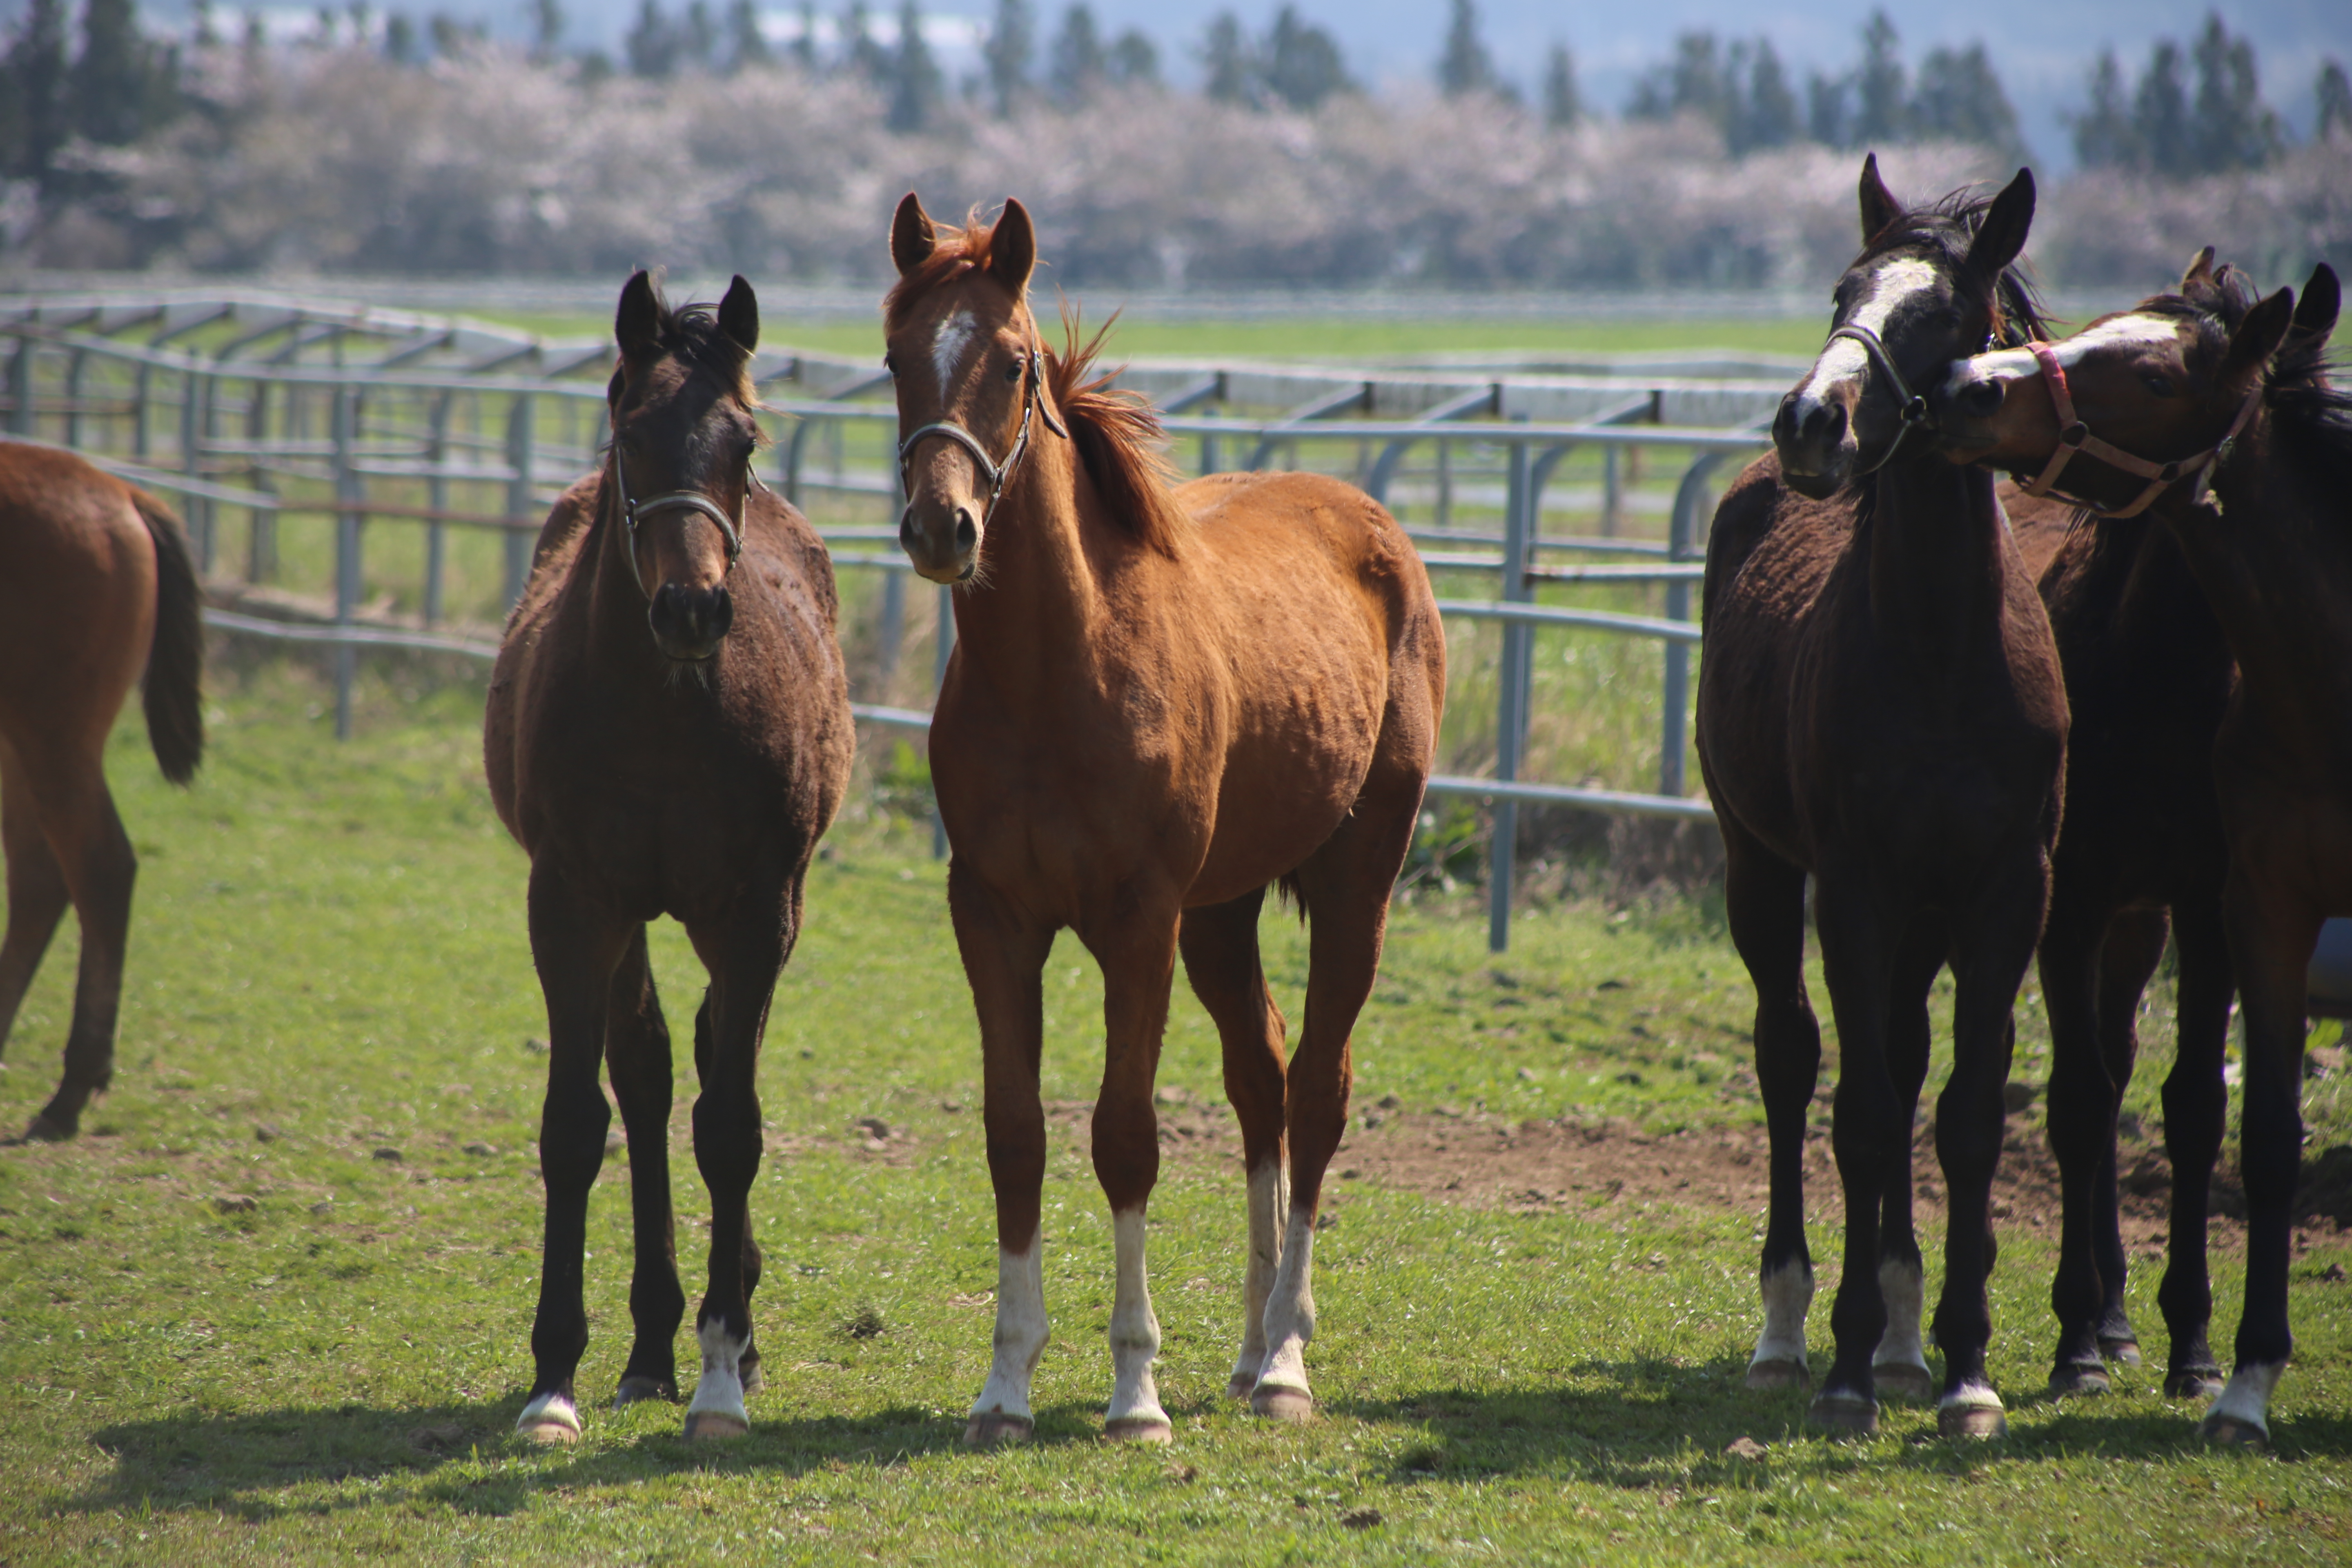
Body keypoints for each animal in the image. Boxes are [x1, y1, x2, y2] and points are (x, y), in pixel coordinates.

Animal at [480, 272, 856, 1448]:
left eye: (744, 439)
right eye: (631, 433)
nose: (692, 608)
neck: (662, 711)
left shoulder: (757, 908)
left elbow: (731, 1126)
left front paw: (725, 1372)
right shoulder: (572, 902)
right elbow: (576, 1122)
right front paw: (553, 1377)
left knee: (706, 1065)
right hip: (632, 916)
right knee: (645, 1074)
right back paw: (648, 1343)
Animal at [880, 196, 1430, 1448]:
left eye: (1014, 362)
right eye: (896, 358)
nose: (942, 528)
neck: (1058, 671)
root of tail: (1372, 526)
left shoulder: (1137, 922)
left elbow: (1125, 1137)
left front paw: (1134, 1390)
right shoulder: (993, 915)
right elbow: (1016, 1134)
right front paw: (1004, 1387)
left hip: (1354, 881)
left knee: (1316, 1089)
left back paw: (1284, 1362)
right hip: (1221, 913)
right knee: (1262, 1078)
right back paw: (1248, 1345)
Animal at [1693, 156, 2060, 1439]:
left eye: (1946, 313)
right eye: (1843, 291)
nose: (1813, 421)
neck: (1941, 650)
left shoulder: (2005, 895)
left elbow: (1961, 1111)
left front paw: (1961, 1368)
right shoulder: (1853, 890)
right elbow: (1852, 1109)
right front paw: (1847, 1366)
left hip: (1925, 914)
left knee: (1902, 1062)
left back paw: (1905, 1336)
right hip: (1760, 871)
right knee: (1792, 1057)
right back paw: (1787, 1331)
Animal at [1929, 255, 2333, 1448]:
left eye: (2154, 375)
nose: (1969, 387)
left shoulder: (2209, 908)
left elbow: (2194, 1108)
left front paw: (2194, 1347)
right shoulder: (2071, 903)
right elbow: (2076, 1101)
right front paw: (2076, 1339)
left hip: (2141, 922)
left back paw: (2120, 1322)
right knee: (2095, 1090)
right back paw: (2097, 1323)